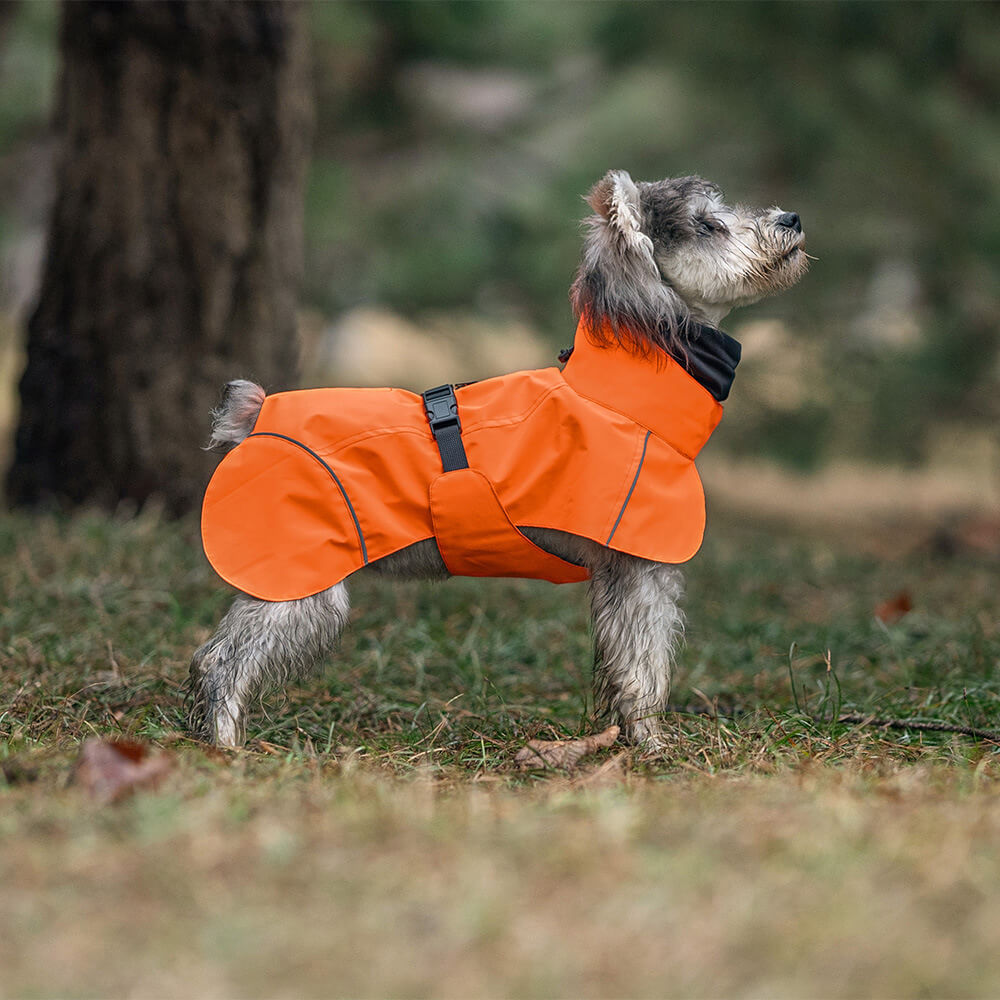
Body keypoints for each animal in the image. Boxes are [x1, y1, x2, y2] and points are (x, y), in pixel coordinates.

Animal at [189, 172, 812, 752]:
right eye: (708, 225)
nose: (792, 218)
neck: (622, 396)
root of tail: (256, 413)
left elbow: (626, 668)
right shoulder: (640, 571)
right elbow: (643, 670)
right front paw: (650, 745)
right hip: (300, 585)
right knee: (220, 661)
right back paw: (227, 746)